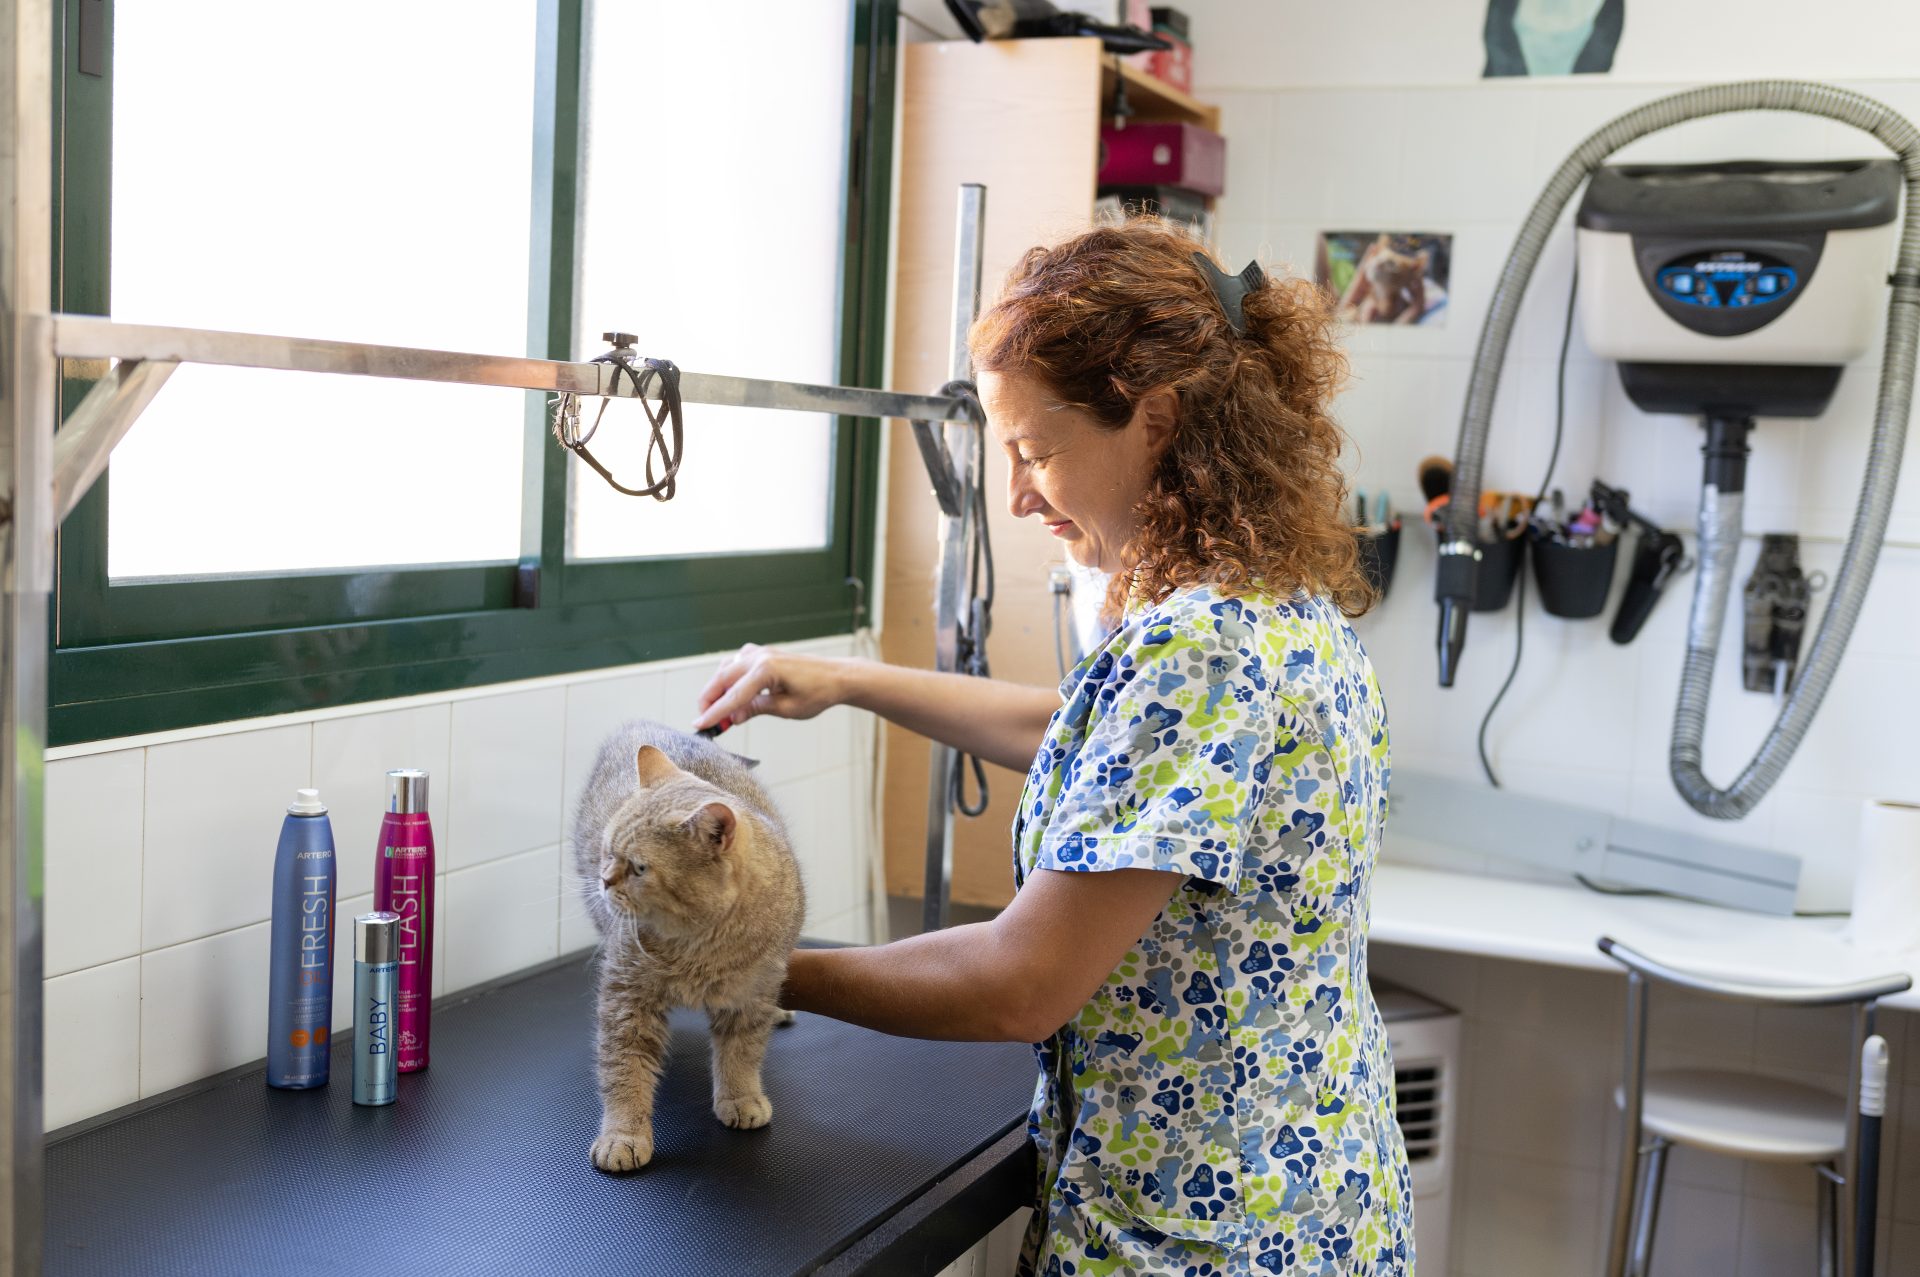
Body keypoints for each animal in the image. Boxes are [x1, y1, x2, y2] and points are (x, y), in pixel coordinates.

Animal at [568, 722, 810, 1167]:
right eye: (609, 851)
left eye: (640, 868)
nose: (604, 880)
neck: (699, 945)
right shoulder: (627, 999)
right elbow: (623, 1070)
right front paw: (623, 1134)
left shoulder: (752, 995)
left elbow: (741, 1054)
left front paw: (741, 1096)